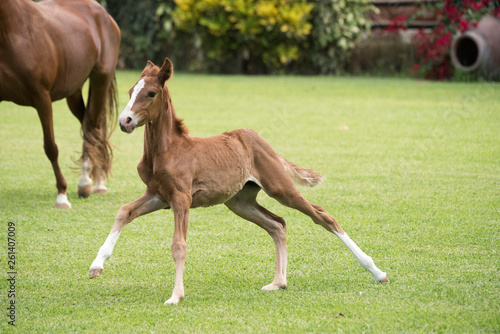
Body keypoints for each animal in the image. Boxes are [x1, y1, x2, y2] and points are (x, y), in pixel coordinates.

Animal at [0, 0, 120, 207]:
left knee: (93, 127)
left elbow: (51, 147)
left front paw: (62, 196)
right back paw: (94, 180)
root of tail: (103, 13)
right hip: (74, 91)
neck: (13, 31)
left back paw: (89, 182)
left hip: (100, 80)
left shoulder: (42, 99)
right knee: (90, 125)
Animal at [89, 58, 386, 306]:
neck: (167, 149)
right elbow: (124, 212)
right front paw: (96, 265)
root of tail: (259, 139)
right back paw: (278, 282)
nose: (125, 121)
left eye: (150, 93)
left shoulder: (181, 198)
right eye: (130, 91)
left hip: (280, 187)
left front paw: (176, 296)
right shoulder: (158, 195)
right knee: (277, 224)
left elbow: (178, 245)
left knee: (322, 215)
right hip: (240, 202)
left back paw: (377, 271)